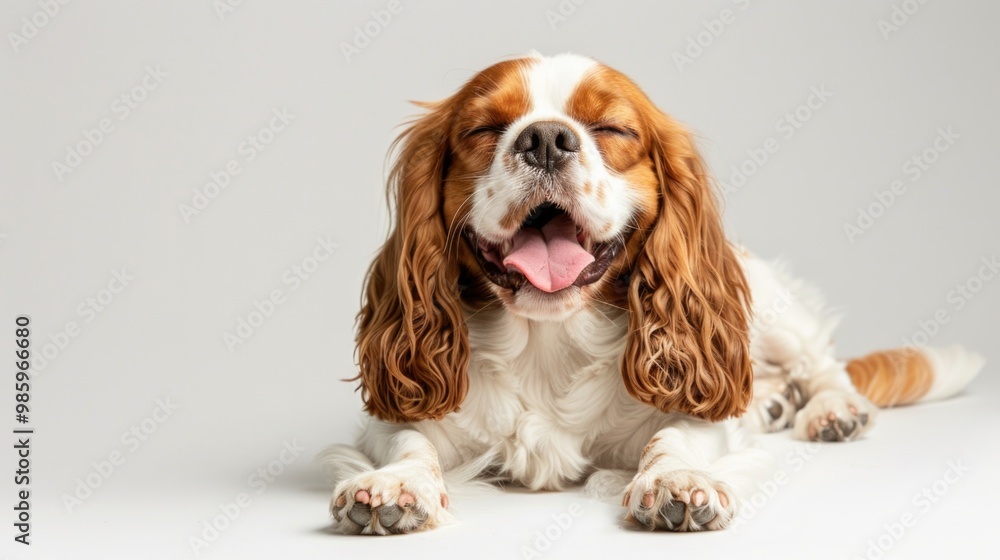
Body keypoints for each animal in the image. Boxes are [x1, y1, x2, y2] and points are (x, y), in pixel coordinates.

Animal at [322, 54, 984, 536]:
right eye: (483, 129)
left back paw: (831, 410)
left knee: (823, 366)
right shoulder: (394, 418)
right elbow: (407, 440)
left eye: (611, 129)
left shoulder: (695, 408)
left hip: (775, 310)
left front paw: (676, 480)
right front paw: (397, 483)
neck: (548, 336)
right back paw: (773, 403)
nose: (544, 138)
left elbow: (677, 435)